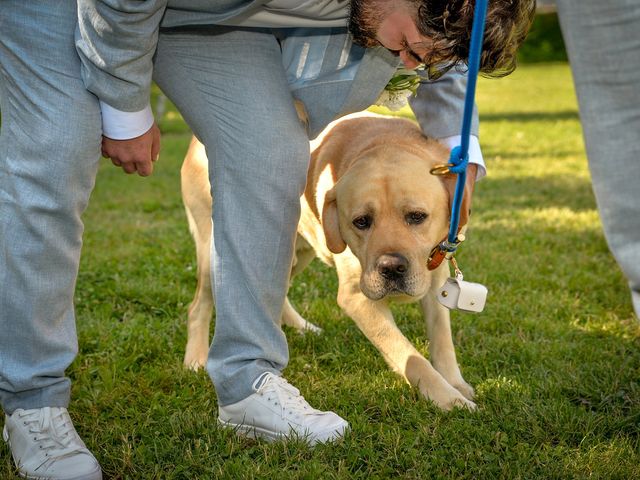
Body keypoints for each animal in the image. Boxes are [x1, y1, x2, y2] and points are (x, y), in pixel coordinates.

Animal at [180, 111, 476, 408]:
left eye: (417, 216)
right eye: (361, 221)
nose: (391, 268)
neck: (384, 143)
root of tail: (195, 140)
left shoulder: (435, 281)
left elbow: (442, 340)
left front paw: (455, 383)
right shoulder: (356, 297)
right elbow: (409, 356)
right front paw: (448, 398)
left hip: (290, 254)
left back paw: (301, 327)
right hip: (217, 256)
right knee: (198, 306)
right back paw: (196, 359)